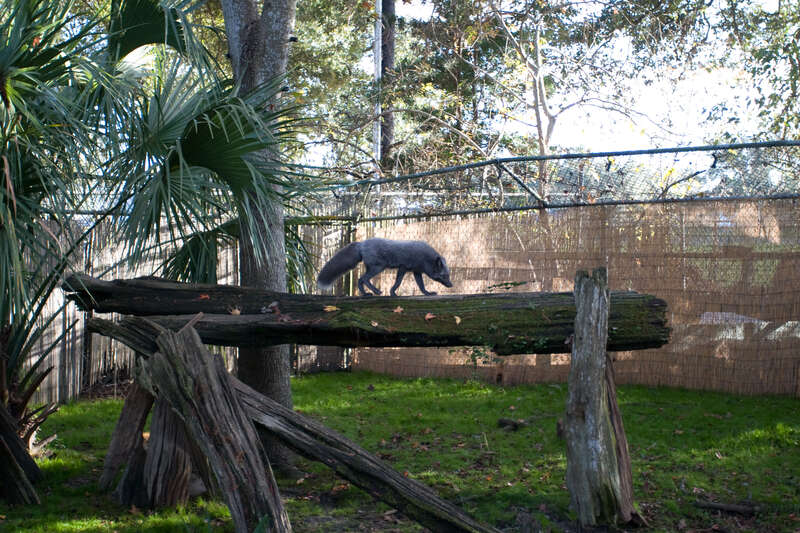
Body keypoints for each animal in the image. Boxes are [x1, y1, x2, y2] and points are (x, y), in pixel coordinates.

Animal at [317, 238, 453, 296]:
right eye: (445, 276)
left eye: (448, 275)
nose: (451, 285)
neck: (425, 259)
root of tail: (362, 243)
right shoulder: (403, 267)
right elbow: (398, 282)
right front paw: (393, 293)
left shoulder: (416, 272)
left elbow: (421, 286)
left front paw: (428, 293)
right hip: (378, 268)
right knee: (363, 279)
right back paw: (375, 292)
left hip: (373, 268)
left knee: (360, 280)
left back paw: (365, 294)